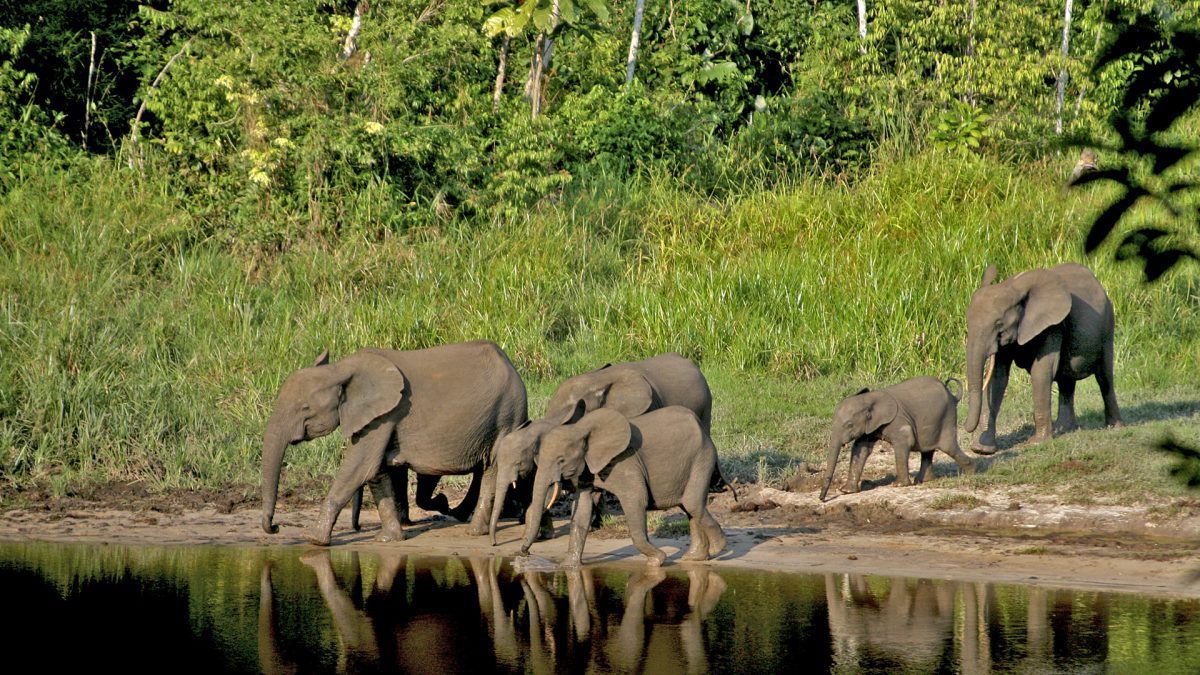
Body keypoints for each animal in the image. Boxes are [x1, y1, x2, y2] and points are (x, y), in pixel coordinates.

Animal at [260, 338, 528, 542]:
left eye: (305, 408)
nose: (275, 527)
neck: (341, 368)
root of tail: (511, 365)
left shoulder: (385, 415)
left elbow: (360, 467)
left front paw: (314, 540)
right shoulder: (378, 418)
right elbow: (376, 471)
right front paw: (389, 539)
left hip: (506, 415)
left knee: (493, 469)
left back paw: (473, 531)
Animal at [518, 401, 724, 564]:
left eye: (561, 460)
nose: (524, 552)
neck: (580, 429)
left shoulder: (626, 462)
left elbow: (636, 500)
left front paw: (657, 560)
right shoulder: (588, 469)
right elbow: (582, 510)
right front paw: (569, 567)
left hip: (702, 457)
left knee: (692, 503)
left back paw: (717, 549)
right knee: (688, 507)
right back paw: (694, 558)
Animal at [820, 372, 979, 499]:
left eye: (849, 425)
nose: (822, 499)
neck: (869, 398)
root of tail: (953, 395)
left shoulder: (898, 420)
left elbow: (904, 441)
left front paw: (898, 485)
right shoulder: (870, 426)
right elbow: (861, 448)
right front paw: (846, 491)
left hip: (947, 417)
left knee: (948, 447)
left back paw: (972, 471)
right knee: (927, 450)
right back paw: (924, 480)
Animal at [960, 263, 1118, 451]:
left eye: (999, 323)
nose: (965, 426)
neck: (1012, 287)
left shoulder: (1052, 325)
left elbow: (1041, 372)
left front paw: (1036, 443)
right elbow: (998, 378)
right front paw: (982, 449)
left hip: (1107, 328)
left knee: (1104, 378)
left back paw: (1114, 427)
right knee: (1066, 381)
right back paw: (1063, 429)